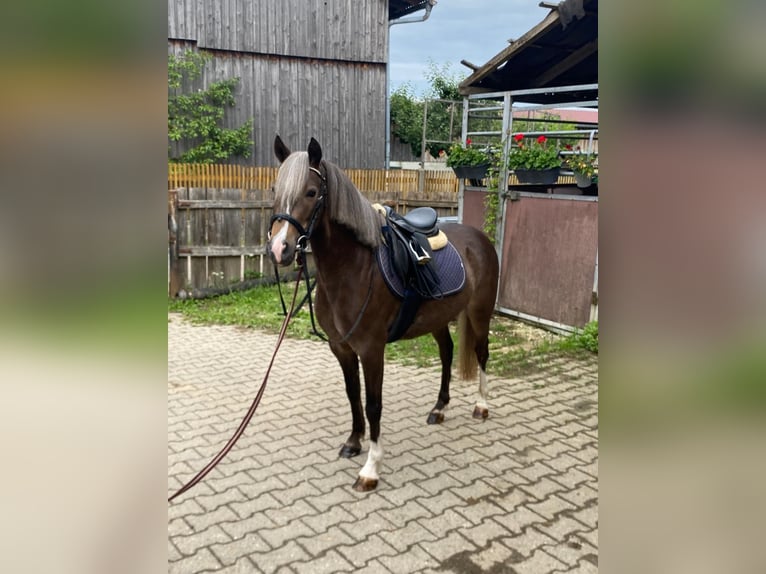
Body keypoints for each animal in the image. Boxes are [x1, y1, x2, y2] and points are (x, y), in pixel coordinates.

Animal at [268, 136, 499, 491]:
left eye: (311, 192)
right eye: (274, 189)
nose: (279, 249)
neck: (353, 268)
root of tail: (480, 239)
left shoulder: (371, 349)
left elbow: (373, 403)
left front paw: (371, 468)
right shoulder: (341, 347)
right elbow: (353, 395)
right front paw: (353, 442)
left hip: (479, 313)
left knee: (482, 353)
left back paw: (482, 405)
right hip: (438, 318)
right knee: (447, 353)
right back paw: (439, 408)